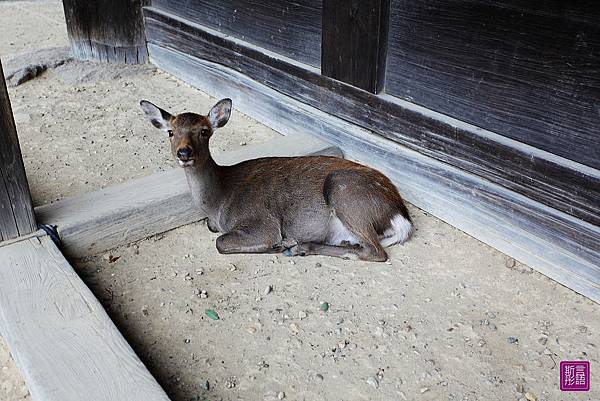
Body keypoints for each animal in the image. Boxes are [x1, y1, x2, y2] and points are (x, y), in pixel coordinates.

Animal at [140, 98, 412, 260]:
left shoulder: (261, 221)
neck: (216, 205)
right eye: (170, 132)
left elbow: (221, 242)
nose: (184, 153)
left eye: (205, 131)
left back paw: (295, 245)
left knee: (375, 251)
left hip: (344, 191)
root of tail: (401, 216)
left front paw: (279, 244)